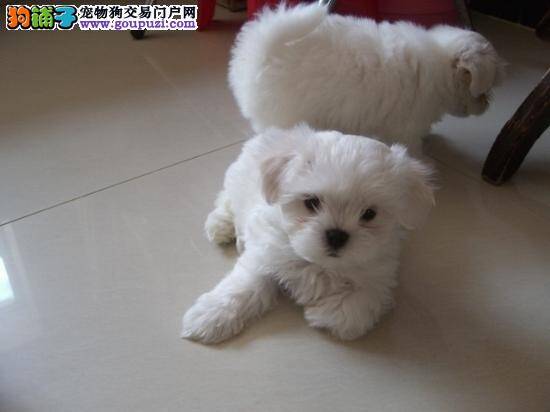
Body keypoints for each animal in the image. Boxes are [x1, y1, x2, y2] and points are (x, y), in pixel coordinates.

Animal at [182, 125, 434, 343]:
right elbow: (243, 286)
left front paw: (324, 313)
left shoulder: (381, 274)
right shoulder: (265, 254)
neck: (319, 264)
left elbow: (358, 306)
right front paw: (209, 316)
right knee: (225, 200)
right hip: (237, 180)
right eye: (311, 202)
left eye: (370, 214)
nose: (337, 235)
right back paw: (220, 226)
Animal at [229, 4, 505, 151]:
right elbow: (411, 143)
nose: (487, 105)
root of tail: (261, 51)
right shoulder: (407, 124)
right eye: (483, 92)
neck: (440, 61)